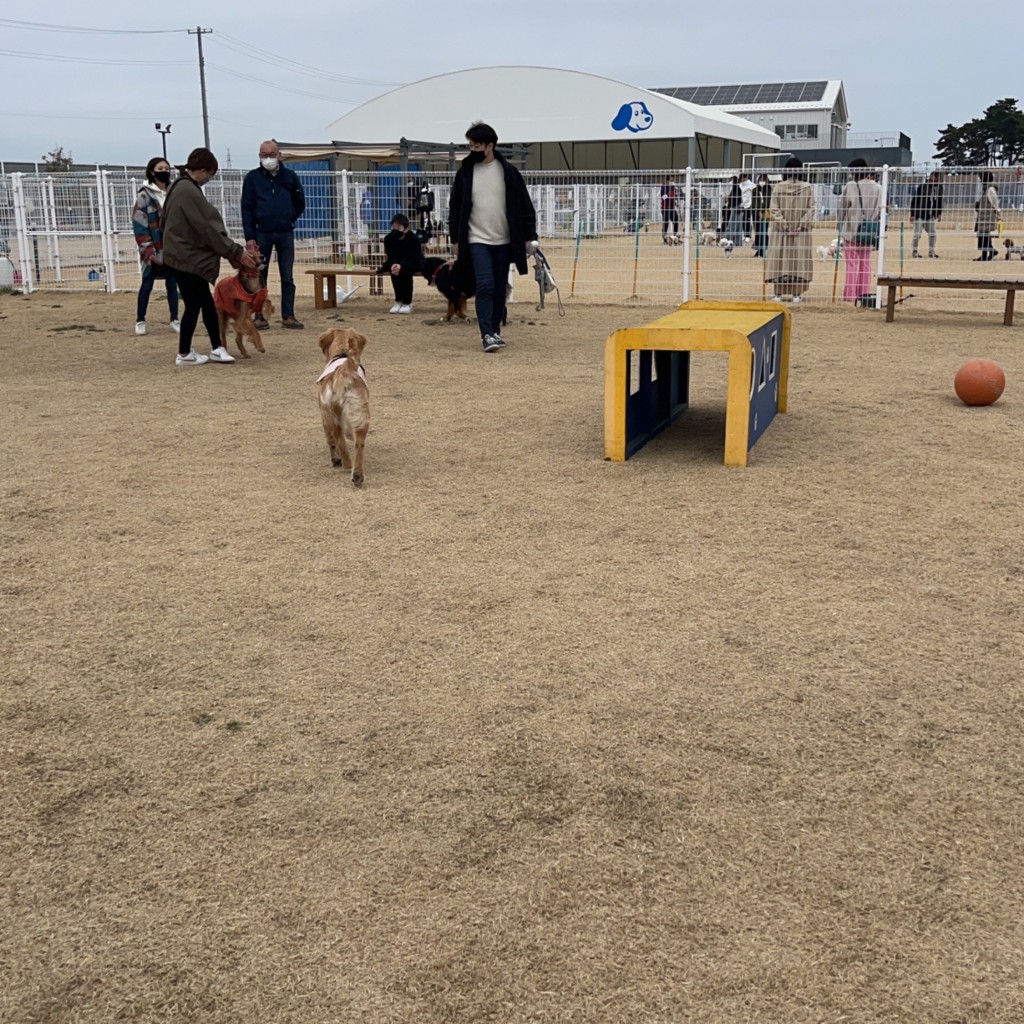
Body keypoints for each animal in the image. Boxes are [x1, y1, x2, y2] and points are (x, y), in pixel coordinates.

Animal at [319, 329, 372, 485]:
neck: (342, 353)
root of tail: (343, 371)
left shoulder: (324, 417)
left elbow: (331, 441)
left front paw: (335, 460)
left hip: (332, 417)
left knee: (340, 442)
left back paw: (347, 465)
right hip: (361, 416)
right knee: (359, 446)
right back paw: (358, 476)